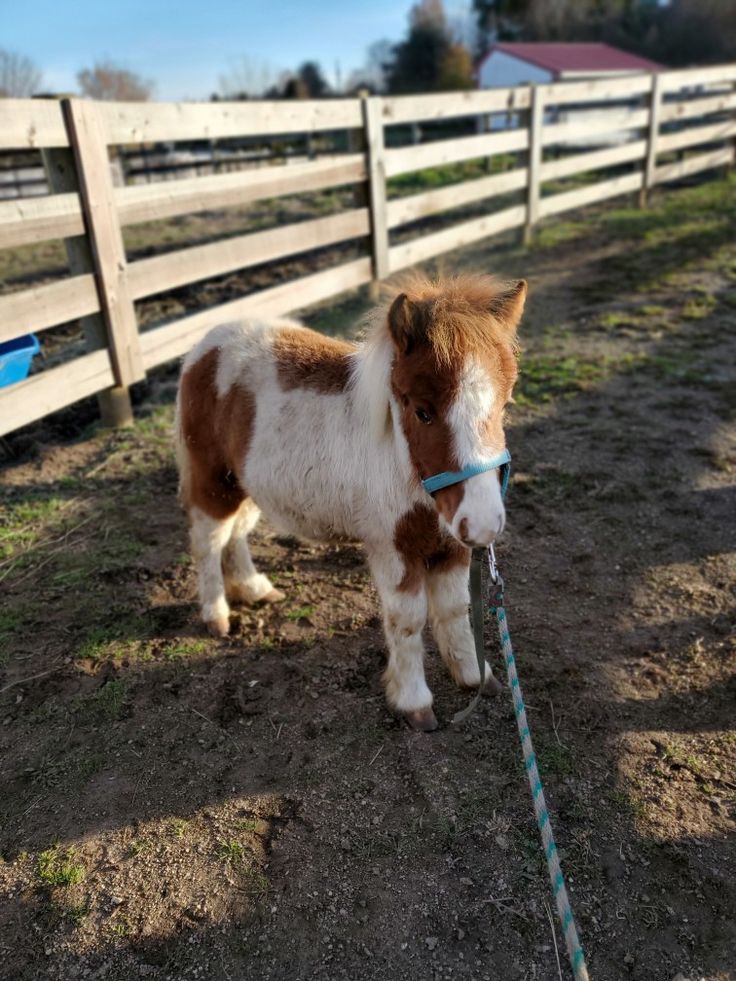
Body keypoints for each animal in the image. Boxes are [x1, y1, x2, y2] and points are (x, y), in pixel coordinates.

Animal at [175, 274, 528, 728]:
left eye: (505, 403)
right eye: (423, 411)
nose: (484, 523)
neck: (402, 464)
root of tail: (208, 343)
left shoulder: (451, 544)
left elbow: (453, 609)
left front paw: (473, 676)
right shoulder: (395, 550)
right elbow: (407, 621)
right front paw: (414, 704)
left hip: (247, 483)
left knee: (235, 535)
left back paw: (254, 589)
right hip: (213, 481)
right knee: (209, 542)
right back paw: (217, 614)